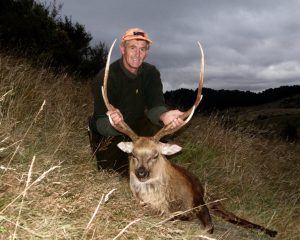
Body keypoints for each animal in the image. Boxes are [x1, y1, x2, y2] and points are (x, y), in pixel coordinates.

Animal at [100, 39, 276, 238]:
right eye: (133, 155)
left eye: (156, 155)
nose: (141, 173)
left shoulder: (197, 202)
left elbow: (206, 226)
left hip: (207, 195)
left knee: (230, 213)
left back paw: (270, 231)